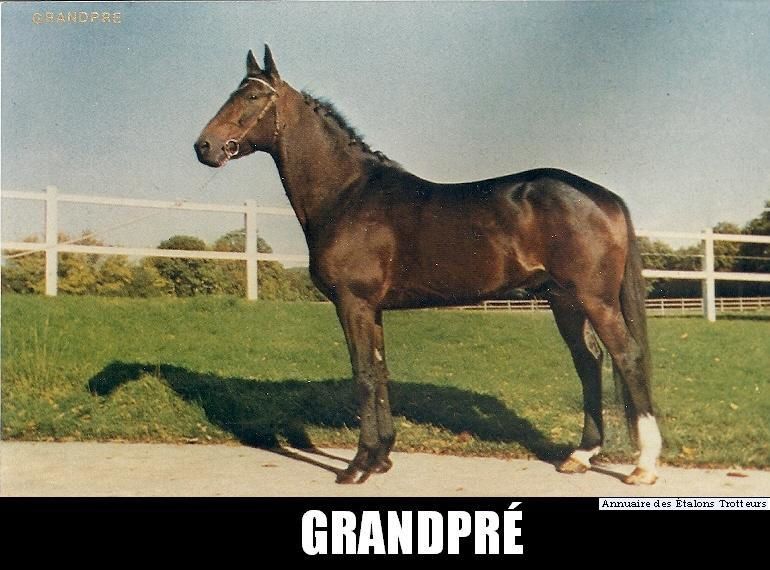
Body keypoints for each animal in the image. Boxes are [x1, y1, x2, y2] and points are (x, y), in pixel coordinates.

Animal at [194, 45, 662, 485]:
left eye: (253, 96)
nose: (204, 147)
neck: (348, 195)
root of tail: (605, 196)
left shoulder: (353, 303)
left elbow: (363, 375)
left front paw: (357, 466)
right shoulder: (372, 310)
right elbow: (381, 373)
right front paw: (381, 458)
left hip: (594, 300)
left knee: (627, 356)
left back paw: (643, 466)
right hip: (564, 300)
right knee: (589, 362)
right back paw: (580, 456)